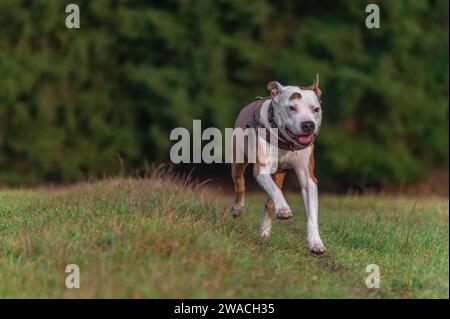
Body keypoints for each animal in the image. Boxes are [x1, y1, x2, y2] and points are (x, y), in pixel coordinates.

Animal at [230, 75, 326, 255]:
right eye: (292, 108)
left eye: (316, 109)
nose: (308, 124)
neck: (286, 142)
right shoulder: (261, 170)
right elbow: (275, 190)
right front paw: (284, 209)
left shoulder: (308, 178)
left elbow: (312, 212)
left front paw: (315, 242)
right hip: (238, 160)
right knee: (240, 183)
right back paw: (238, 208)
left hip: (279, 173)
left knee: (269, 202)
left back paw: (264, 232)